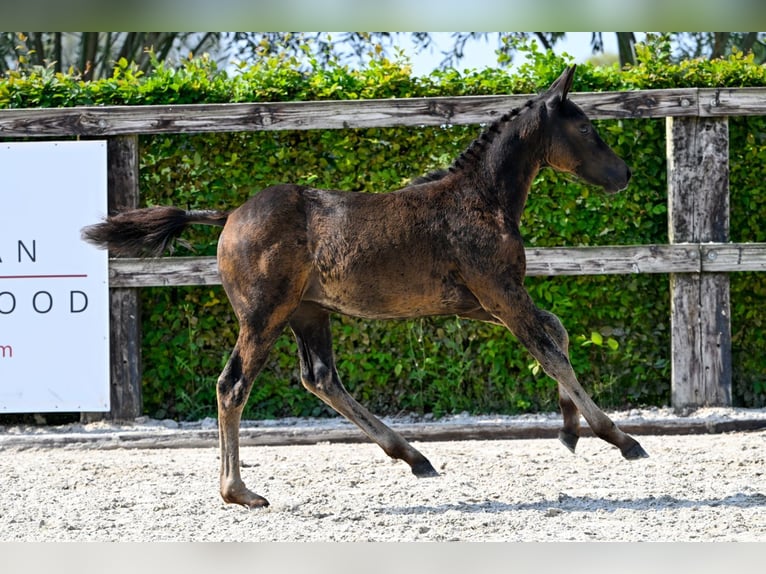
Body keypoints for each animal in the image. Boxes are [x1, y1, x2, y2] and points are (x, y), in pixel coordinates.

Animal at [84, 65, 648, 510]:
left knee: (320, 377)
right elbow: (549, 350)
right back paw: (239, 492)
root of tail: (229, 215)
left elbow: (558, 333)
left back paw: (414, 456)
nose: (624, 173)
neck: (481, 198)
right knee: (233, 386)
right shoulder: (499, 292)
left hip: (308, 311)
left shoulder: (480, 301)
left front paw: (569, 429)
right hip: (264, 315)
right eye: (586, 126)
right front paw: (619, 438)